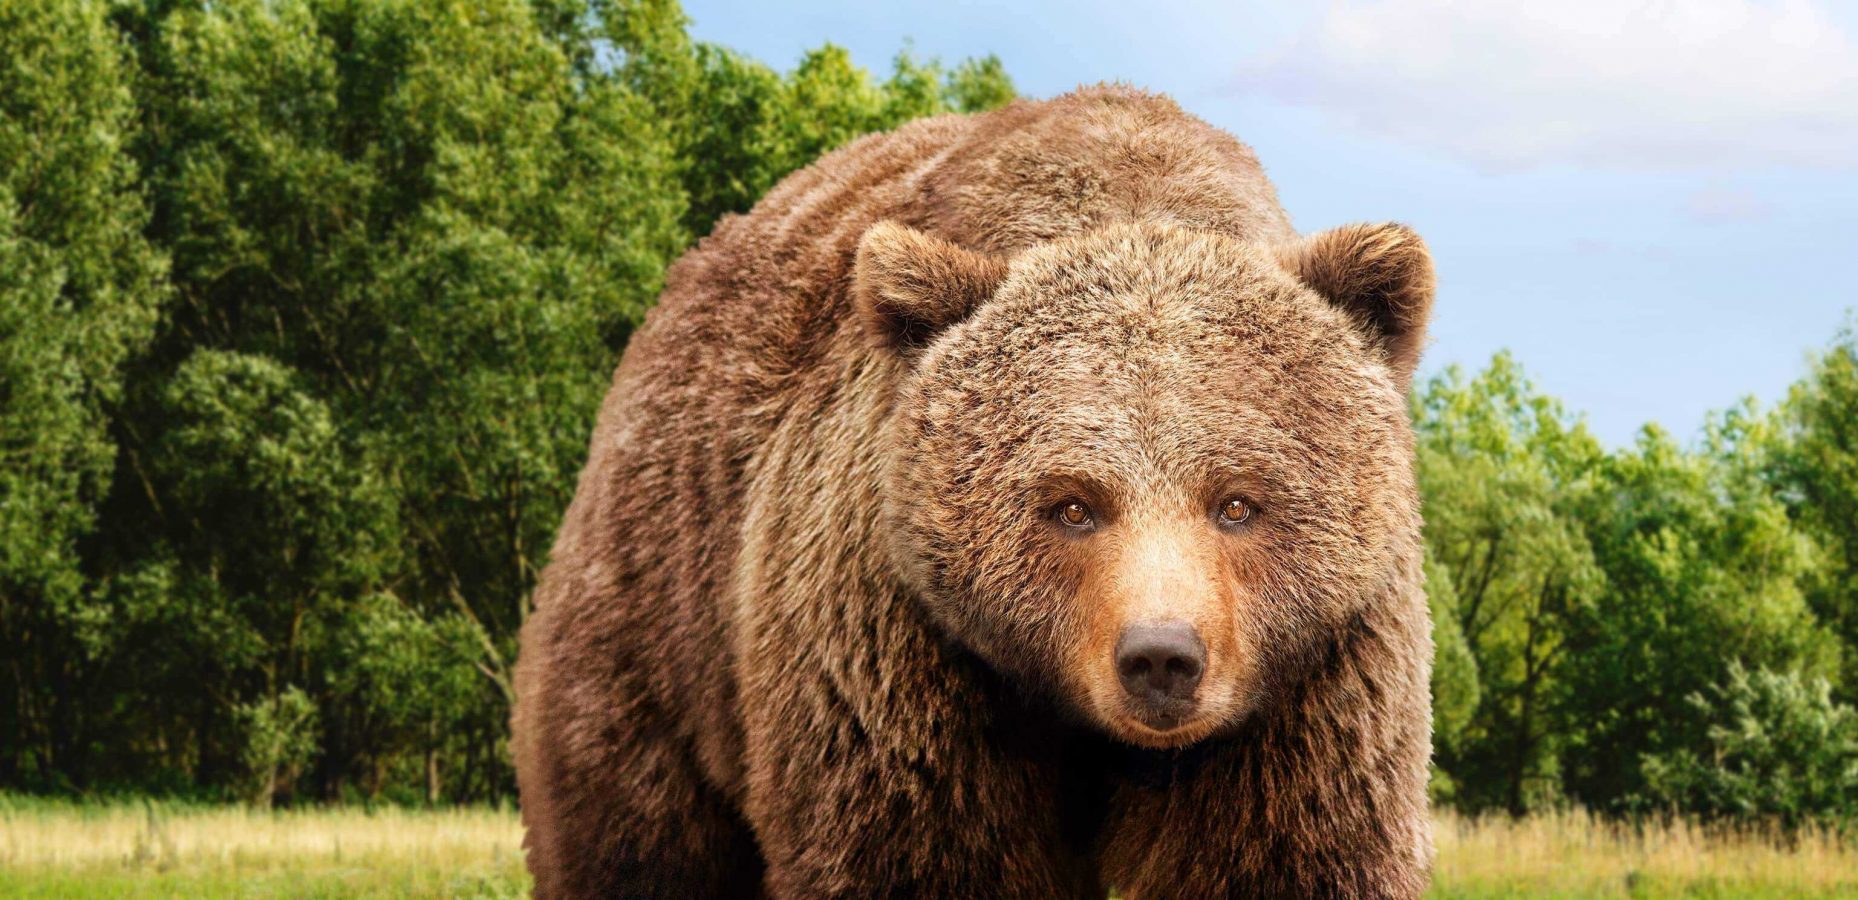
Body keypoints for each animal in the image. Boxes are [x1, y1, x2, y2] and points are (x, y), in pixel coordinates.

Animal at [516, 84, 1441, 900]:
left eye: (1238, 501)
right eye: (1073, 504)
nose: (1161, 659)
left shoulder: (1310, 684)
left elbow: (1288, 854)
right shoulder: (898, 649)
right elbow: (921, 853)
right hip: (655, 619)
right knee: (637, 833)